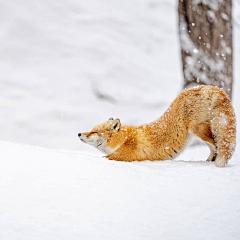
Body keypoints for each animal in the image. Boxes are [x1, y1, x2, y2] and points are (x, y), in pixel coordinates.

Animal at [79, 86, 236, 167]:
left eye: (94, 132)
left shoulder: (122, 157)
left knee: (217, 146)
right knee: (214, 148)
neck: (123, 140)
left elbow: (105, 158)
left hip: (199, 131)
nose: (79, 134)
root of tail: (206, 87)